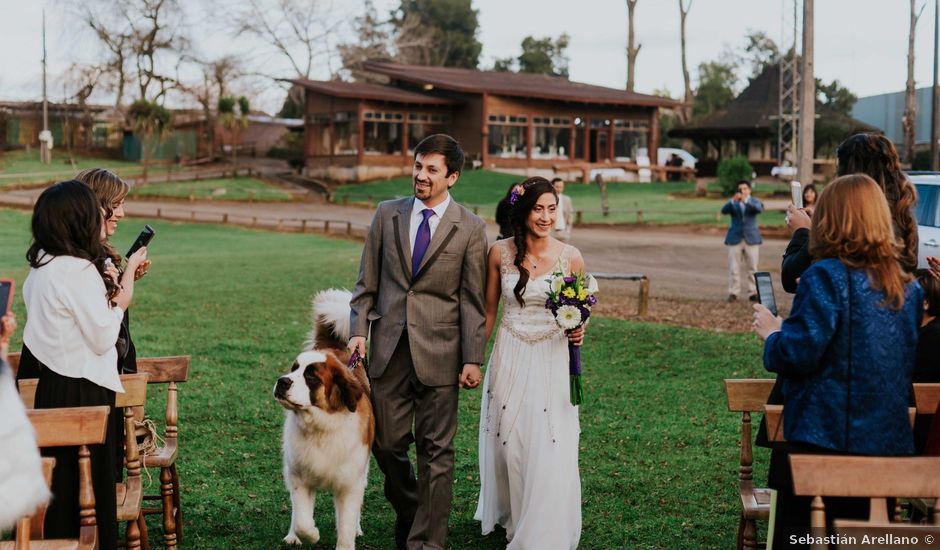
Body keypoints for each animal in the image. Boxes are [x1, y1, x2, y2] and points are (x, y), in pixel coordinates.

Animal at [272, 292, 374, 548]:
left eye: (311, 376)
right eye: (294, 368)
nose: (282, 381)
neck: (321, 425)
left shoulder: (349, 484)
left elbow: (346, 524)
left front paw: (348, 536)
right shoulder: (299, 477)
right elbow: (302, 518)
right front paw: (310, 534)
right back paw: (292, 535)